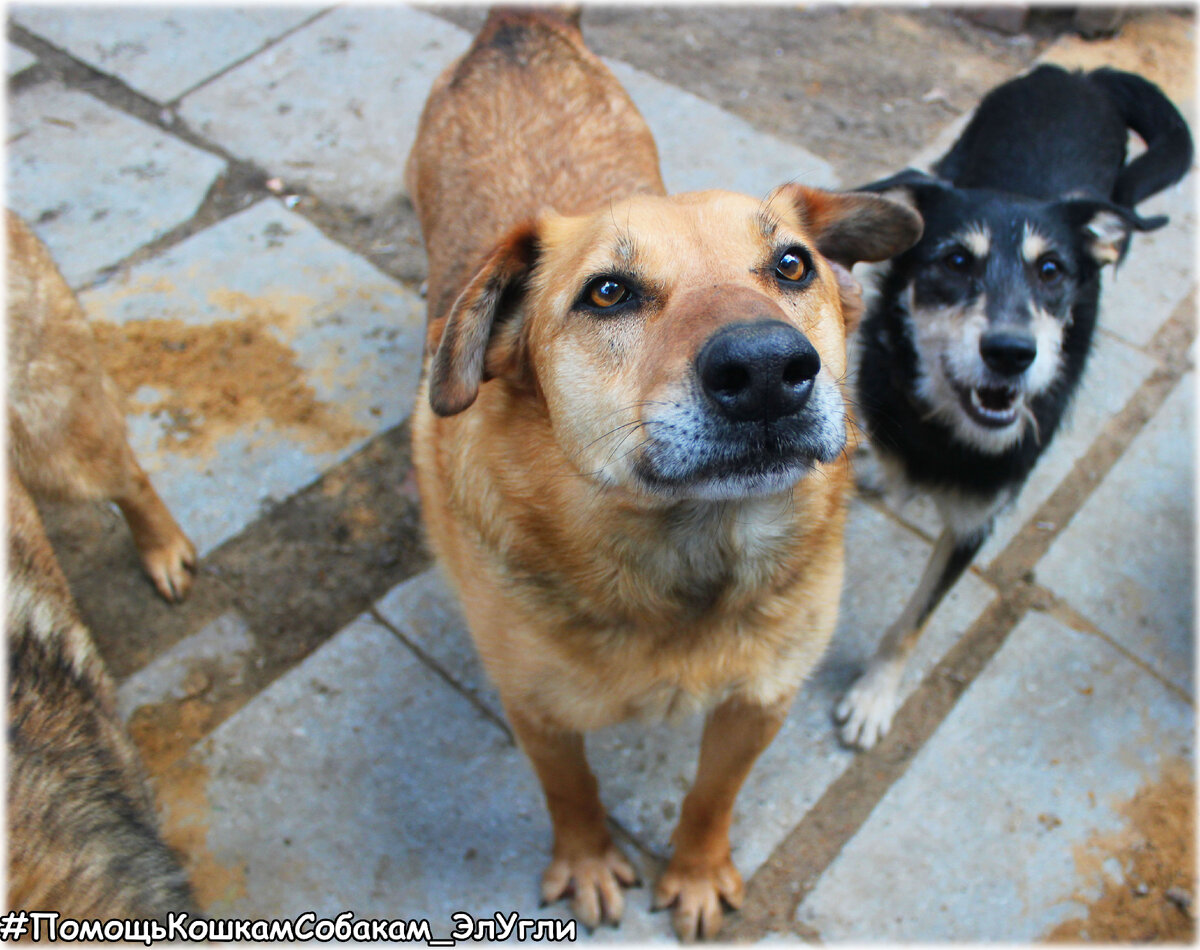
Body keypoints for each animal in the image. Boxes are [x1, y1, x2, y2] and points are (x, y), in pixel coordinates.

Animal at [408, 9, 921, 940]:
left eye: (792, 265)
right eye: (607, 293)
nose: (769, 371)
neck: (687, 561)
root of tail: (519, 24)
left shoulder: (760, 701)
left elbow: (711, 796)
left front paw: (696, 871)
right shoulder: (534, 709)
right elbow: (572, 791)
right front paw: (585, 862)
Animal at [835, 65, 1190, 748]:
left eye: (1051, 270)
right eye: (954, 260)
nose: (1010, 353)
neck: (941, 429)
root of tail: (1079, 75)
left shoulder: (977, 524)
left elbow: (913, 621)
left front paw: (873, 696)